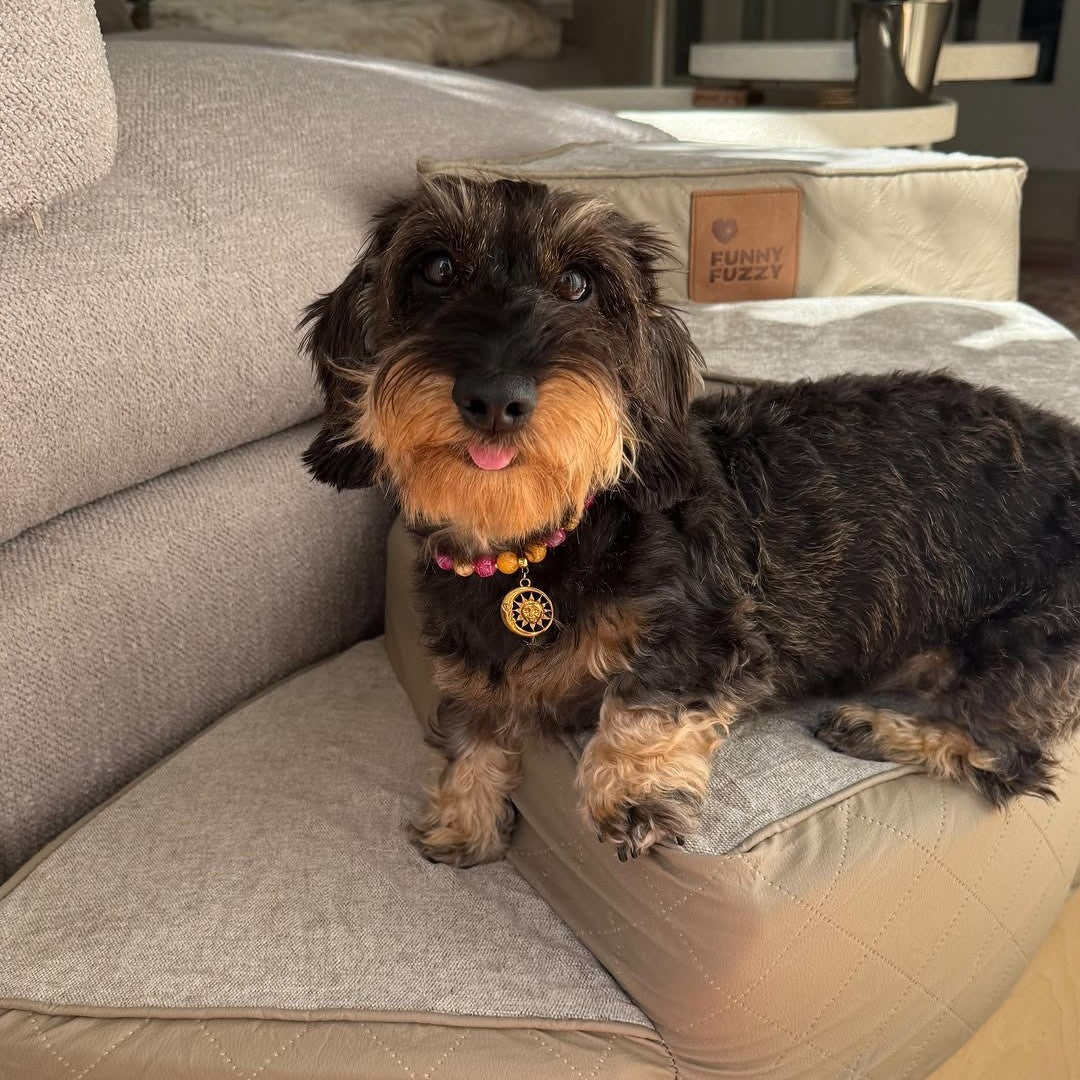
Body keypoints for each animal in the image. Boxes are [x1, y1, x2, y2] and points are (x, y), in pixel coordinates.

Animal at [300, 175, 1080, 867]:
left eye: (579, 283)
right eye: (435, 267)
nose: (495, 396)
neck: (541, 546)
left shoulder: (711, 638)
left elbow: (644, 702)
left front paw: (630, 795)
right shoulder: (472, 665)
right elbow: (475, 730)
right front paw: (464, 814)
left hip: (1030, 637)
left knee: (1005, 752)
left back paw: (877, 726)